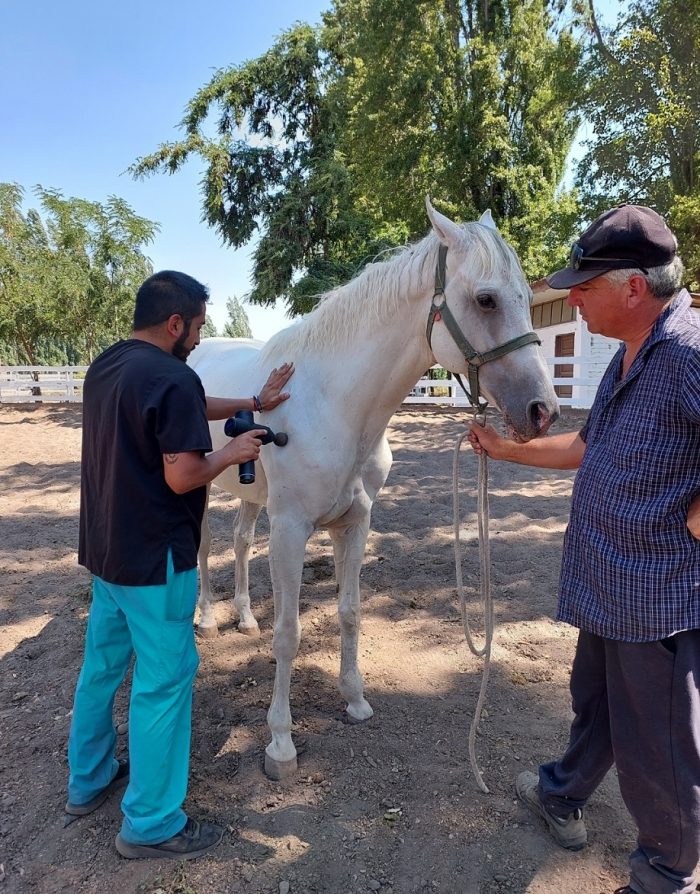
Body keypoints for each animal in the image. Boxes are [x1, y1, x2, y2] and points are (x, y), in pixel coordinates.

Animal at [190, 200, 556, 780]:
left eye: (525, 296)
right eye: (486, 299)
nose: (544, 411)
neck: (335, 404)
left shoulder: (355, 523)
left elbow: (350, 612)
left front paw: (355, 700)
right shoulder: (290, 528)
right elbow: (289, 633)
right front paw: (279, 743)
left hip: (251, 496)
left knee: (241, 544)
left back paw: (244, 618)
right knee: (205, 548)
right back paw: (206, 618)